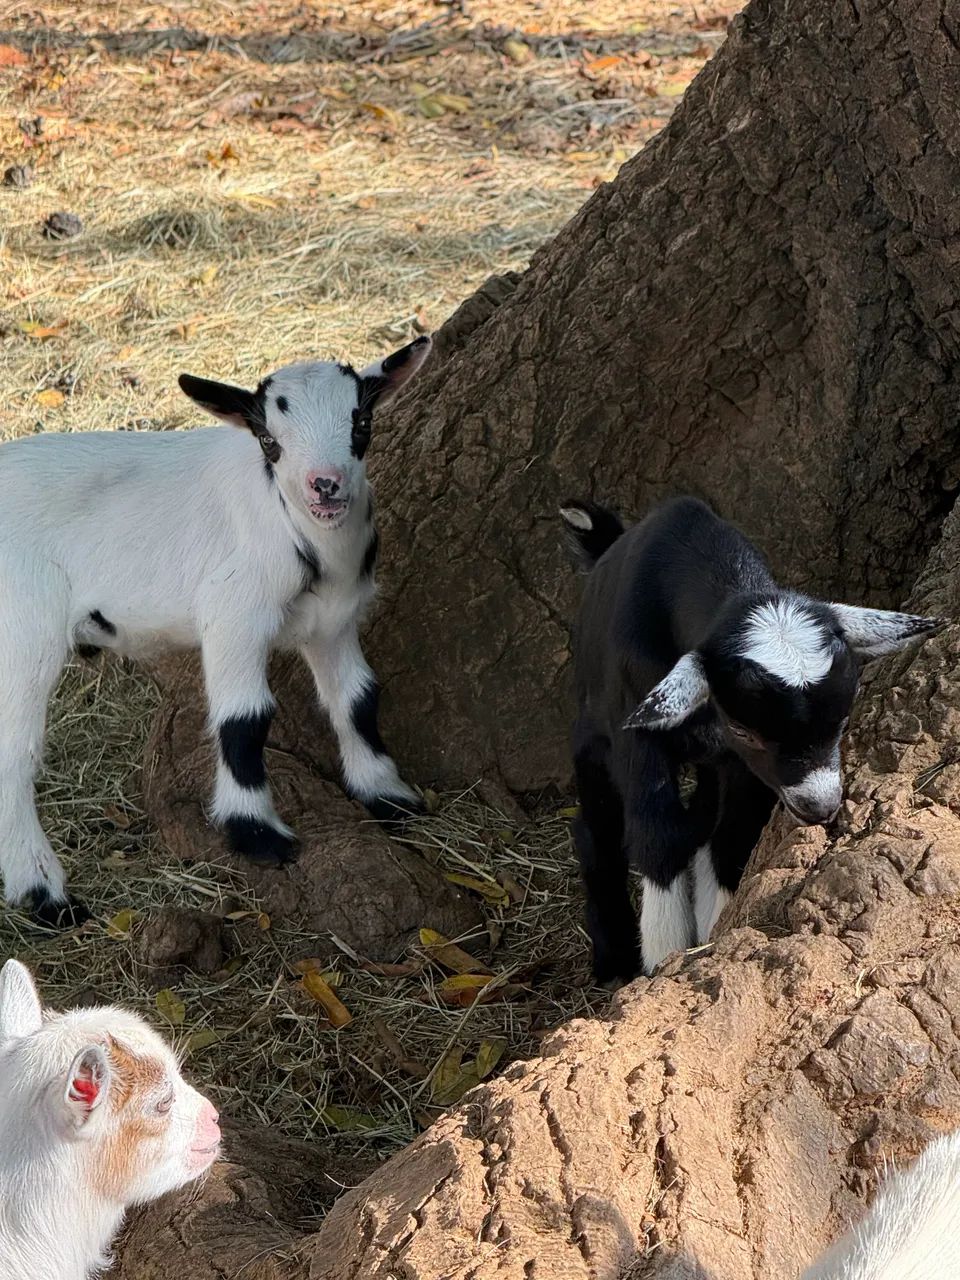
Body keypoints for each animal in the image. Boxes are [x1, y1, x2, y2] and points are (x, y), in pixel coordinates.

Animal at [0, 336, 431, 927]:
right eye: (270, 441)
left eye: (361, 421)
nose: (325, 486)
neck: (294, 526)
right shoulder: (234, 612)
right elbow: (244, 720)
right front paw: (257, 835)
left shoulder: (333, 622)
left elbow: (357, 699)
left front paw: (387, 794)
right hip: (23, 623)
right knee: (13, 752)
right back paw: (44, 892)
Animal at [560, 496, 941, 983]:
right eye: (747, 730)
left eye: (842, 717)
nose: (819, 807)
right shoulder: (643, 738)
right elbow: (655, 835)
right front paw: (664, 954)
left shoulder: (738, 766)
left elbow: (731, 837)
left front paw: (712, 930)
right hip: (592, 732)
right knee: (596, 829)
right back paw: (613, 958)